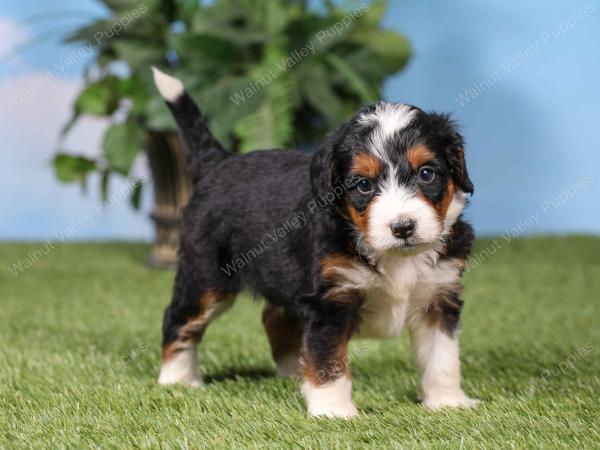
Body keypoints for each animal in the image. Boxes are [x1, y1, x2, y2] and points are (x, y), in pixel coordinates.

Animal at [154, 67, 478, 418]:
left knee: (275, 318)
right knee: (177, 319)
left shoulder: (438, 295)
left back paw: (293, 372)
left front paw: (447, 403)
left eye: (427, 174)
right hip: (205, 278)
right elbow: (328, 360)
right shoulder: (329, 301)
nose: (403, 227)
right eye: (363, 185)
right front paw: (333, 410)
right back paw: (177, 380)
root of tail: (218, 162)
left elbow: (442, 358)